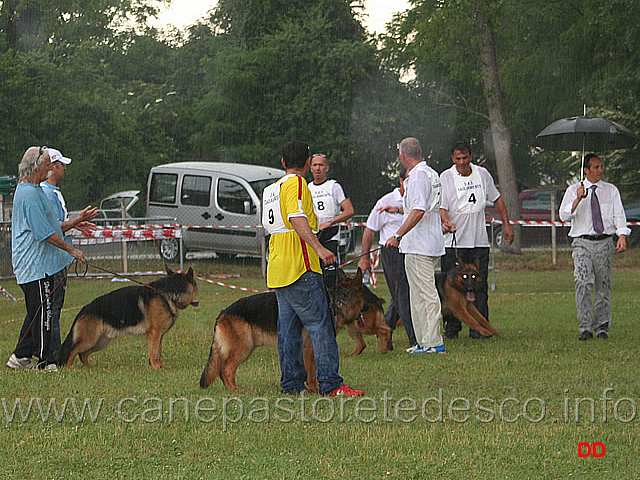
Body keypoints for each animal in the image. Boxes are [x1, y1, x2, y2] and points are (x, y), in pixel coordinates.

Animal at [56, 268, 199, 370]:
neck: (169, 293)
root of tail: (84, 308)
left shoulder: (160, 336)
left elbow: (158, 352)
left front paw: (161, 367)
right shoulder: (155, 334)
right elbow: (154, 353)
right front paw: (155, 367)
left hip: (100, 341)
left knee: (82, 354)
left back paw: (89, 368)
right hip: (90, 339)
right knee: (72, 351)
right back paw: (69, 368)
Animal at [200, 268, 390, 392]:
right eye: (363, 297)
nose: (371, 305)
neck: (335, 300)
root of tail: (223, 312)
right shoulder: (310, 347)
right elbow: (312, 373)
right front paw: (315, 390)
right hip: (243, 347)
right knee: (226, 370)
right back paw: (235, 390)